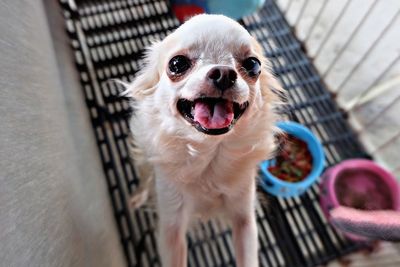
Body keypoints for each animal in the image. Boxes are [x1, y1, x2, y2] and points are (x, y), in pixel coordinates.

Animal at [125, 14, 282, 267]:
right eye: (177, 64)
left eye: (253, 65)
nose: (224, 73)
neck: (209, 153)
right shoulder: (172, 225)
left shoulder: (244, 215)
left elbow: (248, 253)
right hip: (144, 157)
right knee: (145, 175)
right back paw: (137, 196)